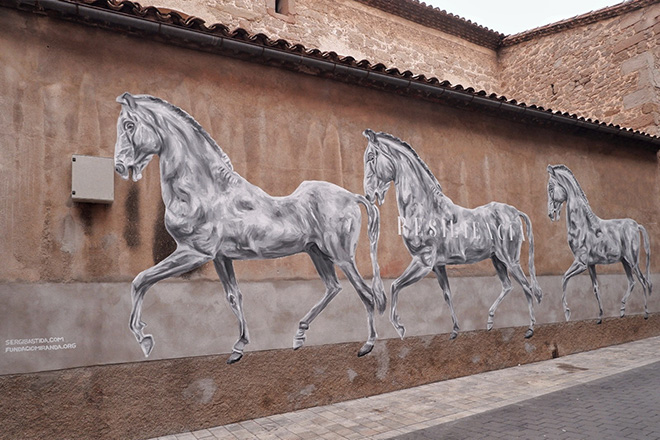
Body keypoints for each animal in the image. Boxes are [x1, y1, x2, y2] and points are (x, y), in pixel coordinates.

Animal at [111, 93, 384, 364]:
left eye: (129, 125)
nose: (120, 166)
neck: (205, 192)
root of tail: (352, 197)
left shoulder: (194, 252)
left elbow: (141, 280)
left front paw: (144, 340)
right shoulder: (221, 258)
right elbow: (234, 297)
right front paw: (238, 348)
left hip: (341, 256)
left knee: (366, 294)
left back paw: (367, 345)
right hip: (316, 253)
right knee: (333, 287)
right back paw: (299, 335)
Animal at [360, 129, 540, 338]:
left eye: (371, 157)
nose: (369, 195)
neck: (427, 209)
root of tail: (515, 211)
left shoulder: (423, 262)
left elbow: (395, 285)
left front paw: (400, 327)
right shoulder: (438, 266)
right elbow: (447, 294)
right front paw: (454, 330)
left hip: (510, 259)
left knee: (526, 287)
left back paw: (530, 329)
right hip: (497, 259)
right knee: (508, 285)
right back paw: (489, 321)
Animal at [548, 163, 648, 322]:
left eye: (551, 188)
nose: (550, 214)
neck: (583, 226)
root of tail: (636, 225)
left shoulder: (581, 263)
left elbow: (564, 278)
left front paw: (567, 313)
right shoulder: (590, 265)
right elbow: (595, 288)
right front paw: (600, 317)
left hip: (632, 260)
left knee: (643, 281)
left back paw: (645, 313)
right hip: (625, 261)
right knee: (632, 282)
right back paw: (622, 310)